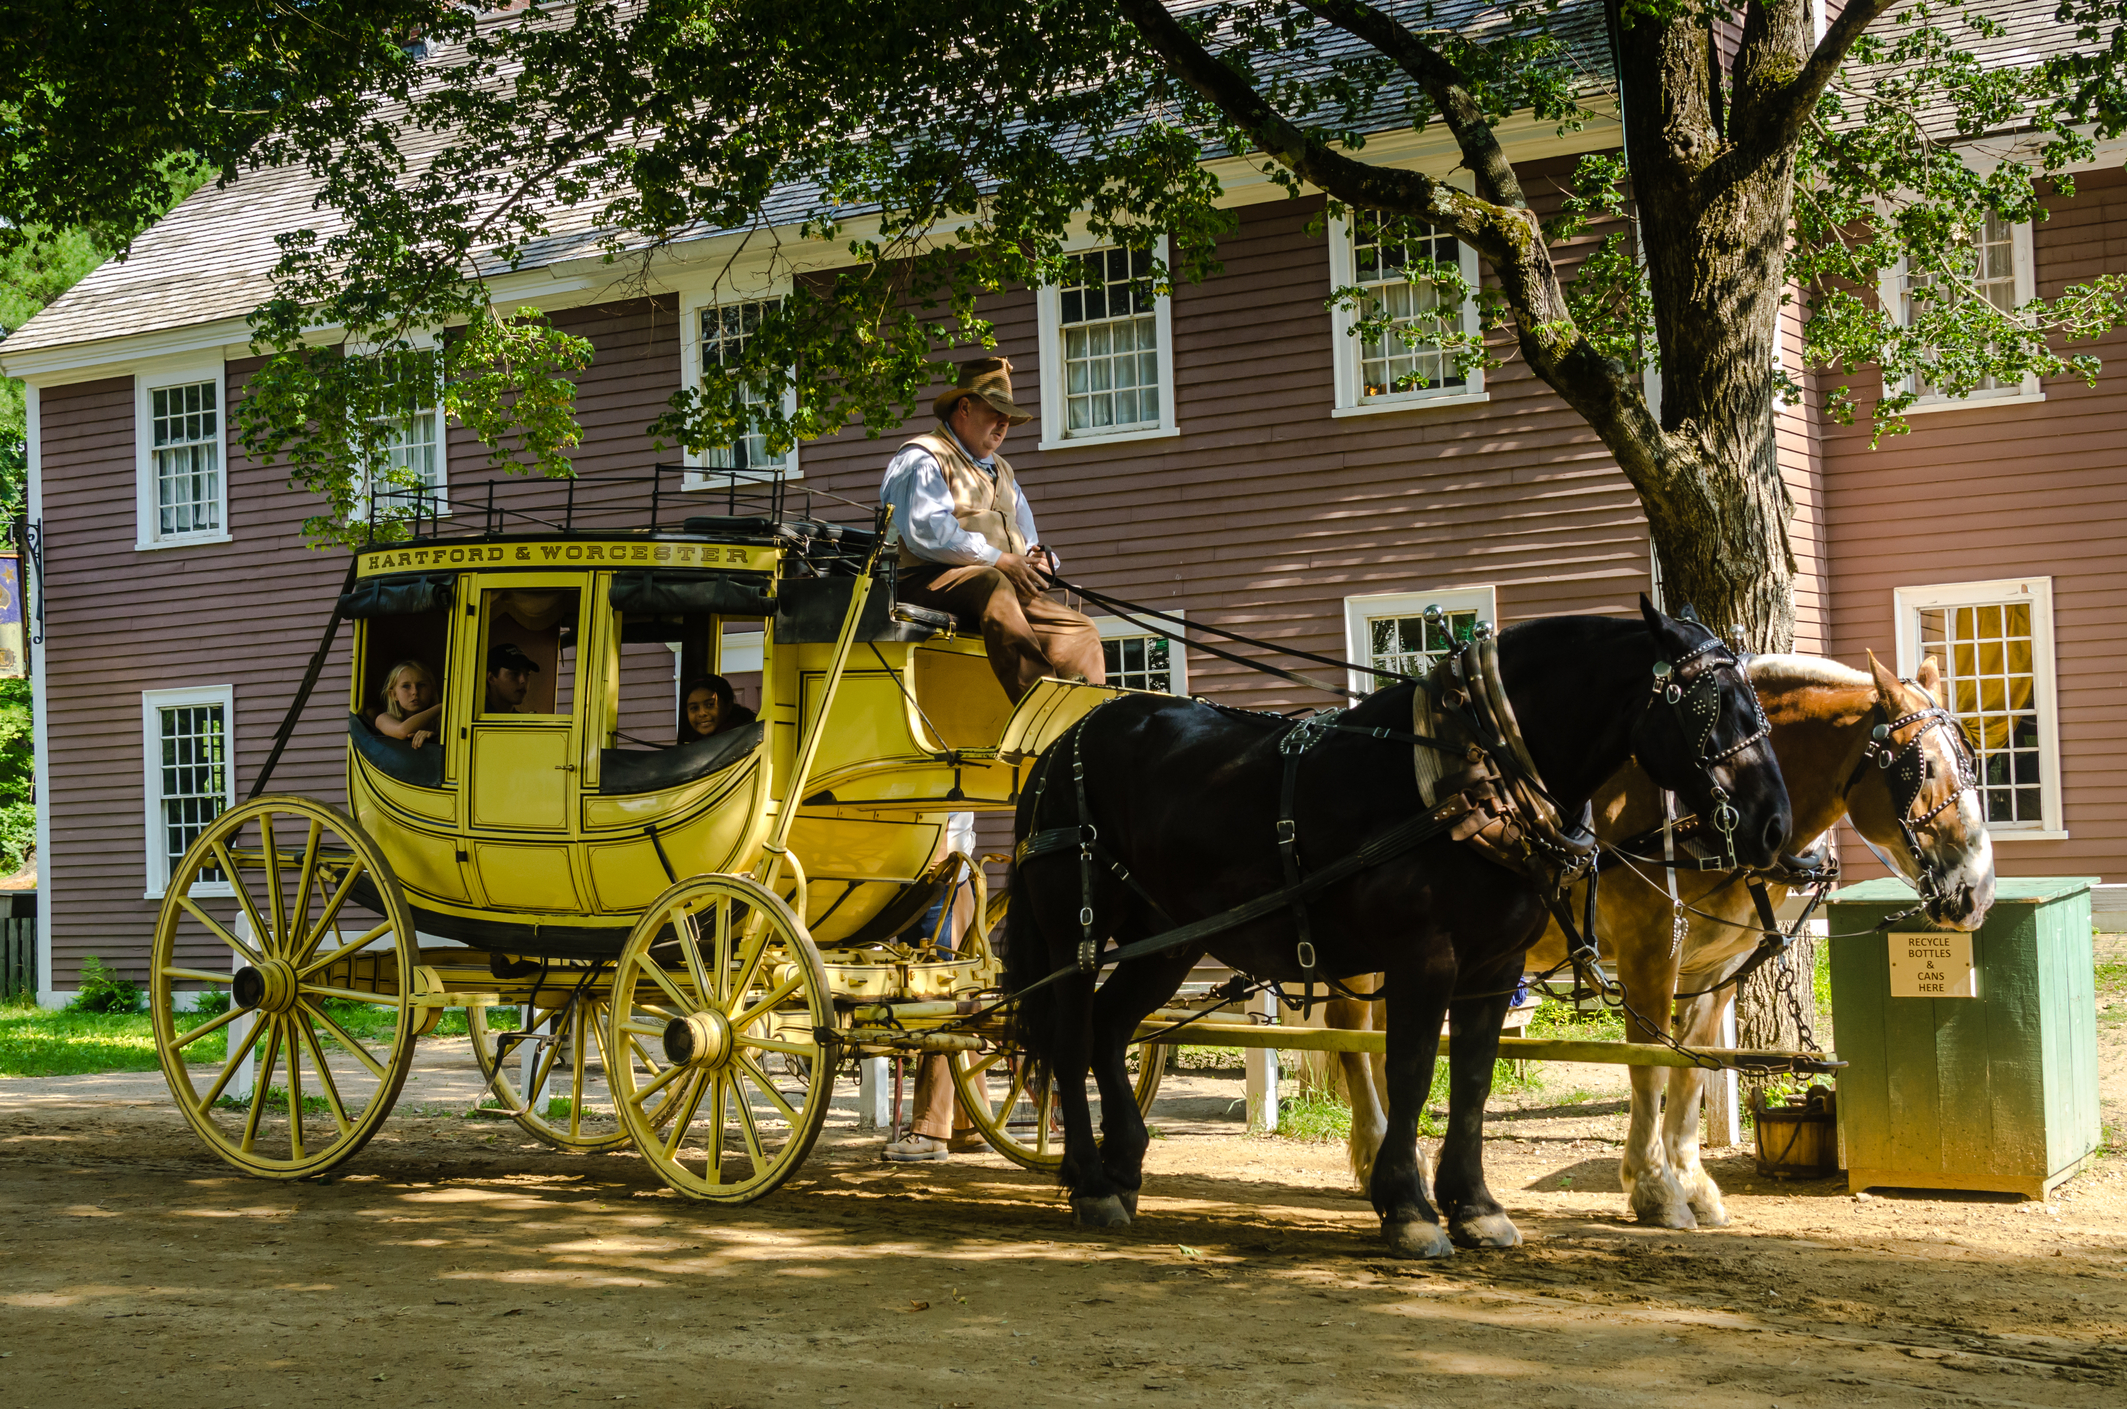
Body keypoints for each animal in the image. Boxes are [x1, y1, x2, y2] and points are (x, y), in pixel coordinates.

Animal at [1003, 600, 1786, 1260]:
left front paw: (1474, 1206)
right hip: (1073, 933)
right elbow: (1410, 1072)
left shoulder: (1494, 968)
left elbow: (1470, 1081)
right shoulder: (1423, 958)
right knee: (1070, 1039)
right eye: (1708, 705)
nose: (1773, 823)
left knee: (1108, 1030)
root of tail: (1063, 743)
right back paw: (1091, 1181)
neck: (1473, 771)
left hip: (1168, 941)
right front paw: (1408, 1208)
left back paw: (1120, 1166)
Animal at [1327, 655, 1990, 1234]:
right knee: (1350, 1034)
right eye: (1918, 768)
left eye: (1971, 761)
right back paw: (1378, 1157)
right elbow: (1648, 1066)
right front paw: (1654, 1188)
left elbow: (1692, 1071)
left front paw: (1693, 1184)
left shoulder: (1715, 970)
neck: (1709, 812)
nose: (1977, 891)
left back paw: (1398, 1162)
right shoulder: (1650, 955)